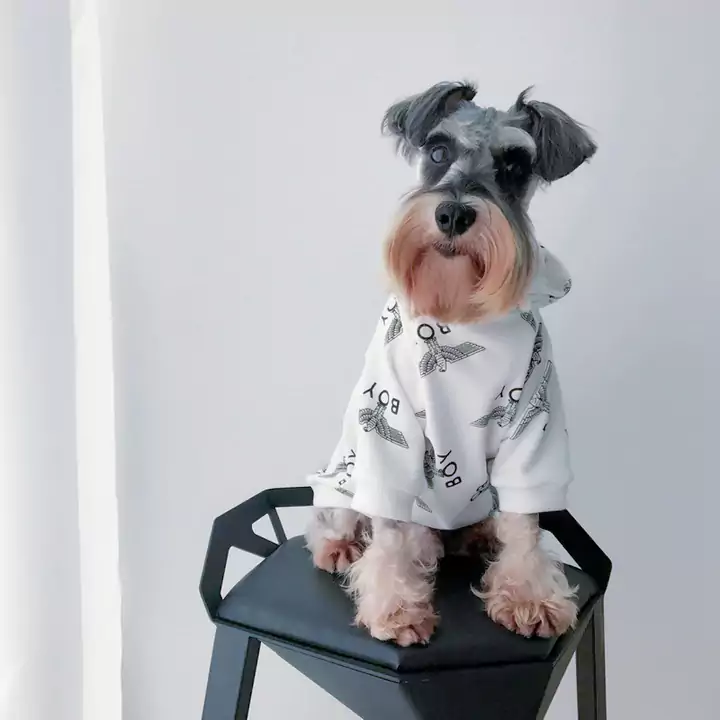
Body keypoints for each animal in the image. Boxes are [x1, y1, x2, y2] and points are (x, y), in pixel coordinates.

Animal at [306, 81, 596, 646]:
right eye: (438, 151)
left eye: (513, 166)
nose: (454, 215)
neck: (462, 313)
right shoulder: (390, 427)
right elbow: (390, 529)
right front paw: (397, 608)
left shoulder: (534, 421)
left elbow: (526, 524)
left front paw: (530, 596)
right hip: (345, 474)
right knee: (345, 518)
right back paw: (342, 546)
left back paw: (477, 537)